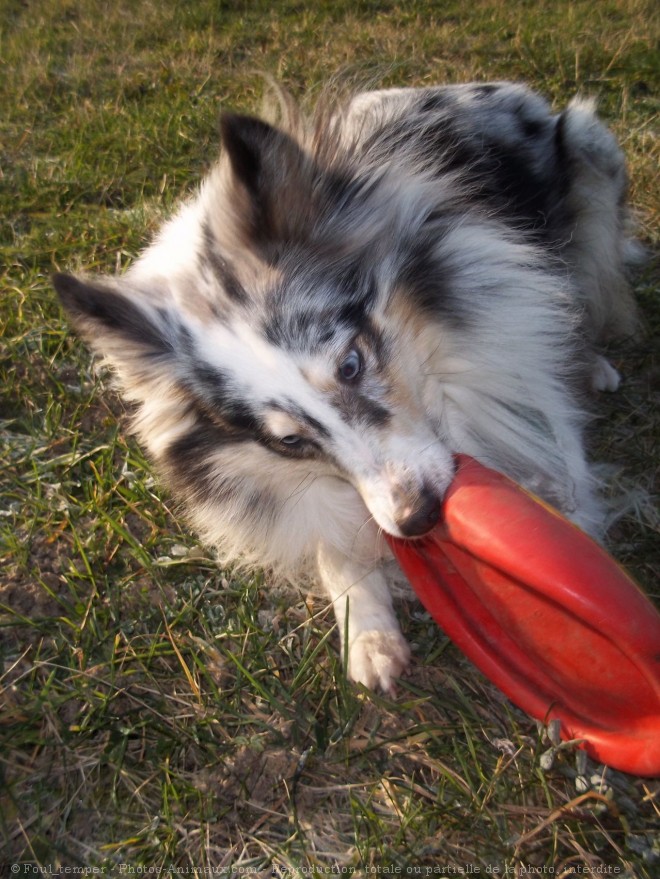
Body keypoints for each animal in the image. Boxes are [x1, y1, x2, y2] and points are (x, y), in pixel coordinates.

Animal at [55, 79, 640, 692]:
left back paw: (593, 362)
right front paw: (371, 641)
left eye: (351, 365)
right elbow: (336, 552)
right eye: (288, 441)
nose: (417, 519)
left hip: (591, 160)